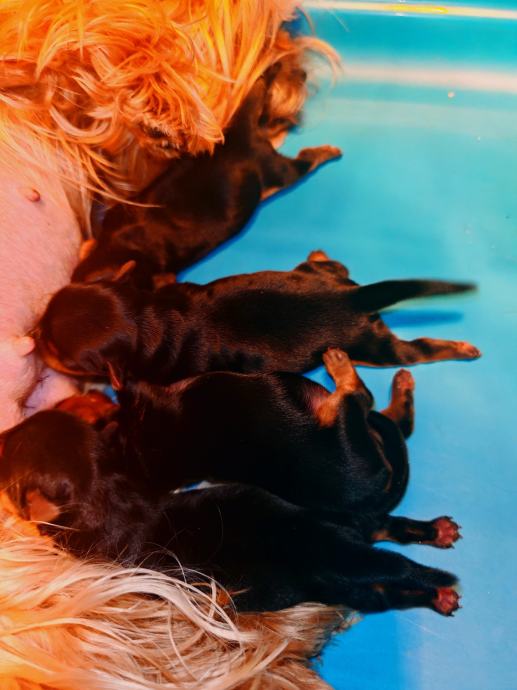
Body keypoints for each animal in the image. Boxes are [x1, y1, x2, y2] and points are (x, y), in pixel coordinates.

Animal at [37, 250, 480, 387]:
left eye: (58, 353)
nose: (35, 333)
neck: (148, 315)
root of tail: (352, 295)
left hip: (371, 346)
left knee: (417, 350)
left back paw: (461, 347)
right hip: (316, 274)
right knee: (328, 264)